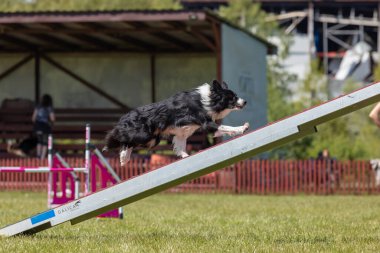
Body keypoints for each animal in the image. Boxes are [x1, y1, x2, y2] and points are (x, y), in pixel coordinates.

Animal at [103, 80, 249, 165]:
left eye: (236, 96)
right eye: (232, 98)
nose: (245, 101)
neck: (208, 100)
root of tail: (124, 117)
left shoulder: (182, 133)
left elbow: (181, 145)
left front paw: (185, 156)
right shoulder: (206, 123)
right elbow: (226, 127)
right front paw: (242, 128)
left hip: (153, 139)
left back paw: (124, 158)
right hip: (144, 135)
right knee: (122, 139)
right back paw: (122, 156)